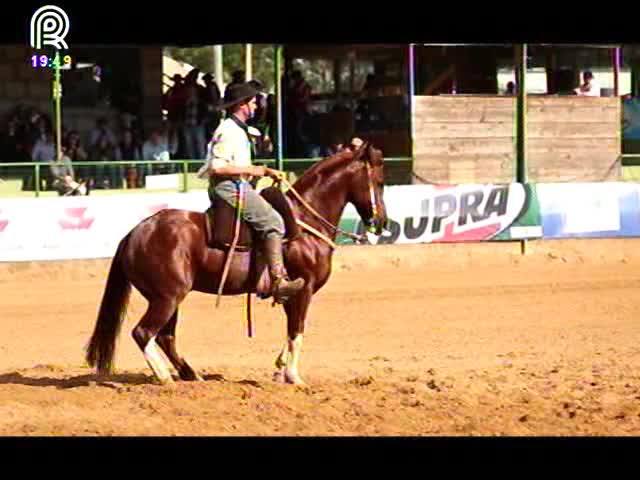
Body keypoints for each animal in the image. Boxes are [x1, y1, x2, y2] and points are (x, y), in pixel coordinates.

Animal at [84, 141, 384, 384]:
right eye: (379, 181)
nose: (381, 223)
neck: (304, 223)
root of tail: (134, 234)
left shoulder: (292, 295)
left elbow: (290, 334)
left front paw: (281, 369)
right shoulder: (304, 289)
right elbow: (297, 332)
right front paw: (294, 377)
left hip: (167, 298)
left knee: (165, 337)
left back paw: (191, 374)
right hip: (166, 298)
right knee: (143, 333)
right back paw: (164, 377)